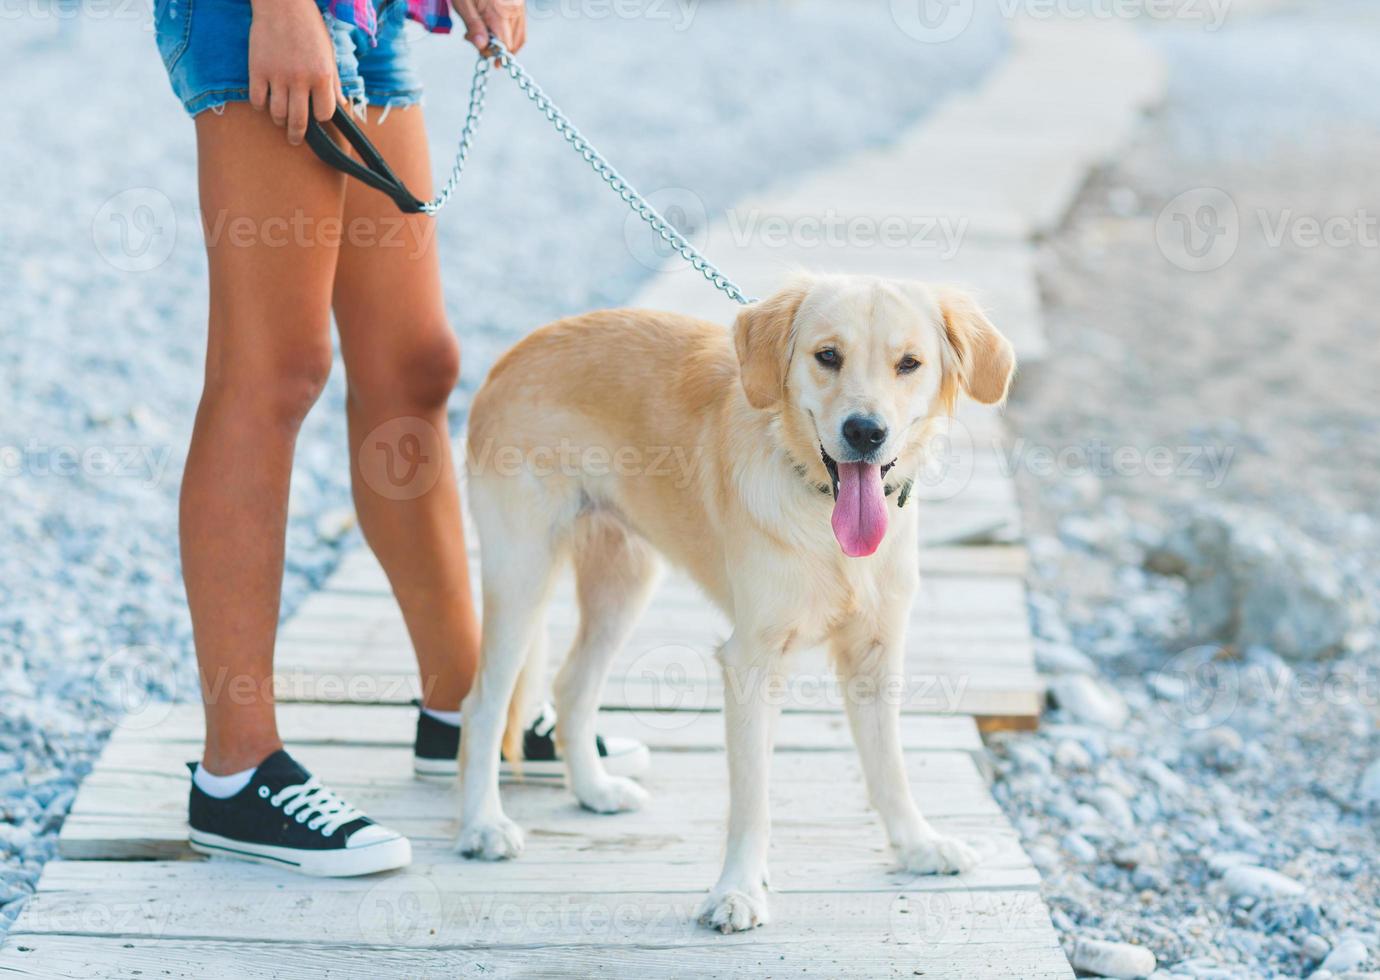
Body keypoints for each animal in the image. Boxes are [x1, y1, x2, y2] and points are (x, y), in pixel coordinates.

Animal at [452, 271, 1015, 933]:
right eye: (828, 356)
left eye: (909, 364)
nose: (865, 433)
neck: (819, 507)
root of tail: (514, 353)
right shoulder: (751, 661)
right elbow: (752, 797)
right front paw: (738, 890)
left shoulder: (875, 655)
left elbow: (890, 769)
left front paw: (917, 844)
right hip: (523, 576)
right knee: (483, 705)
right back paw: (483, 825)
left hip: (624, 579)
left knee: (572, 686)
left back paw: (595, 790)